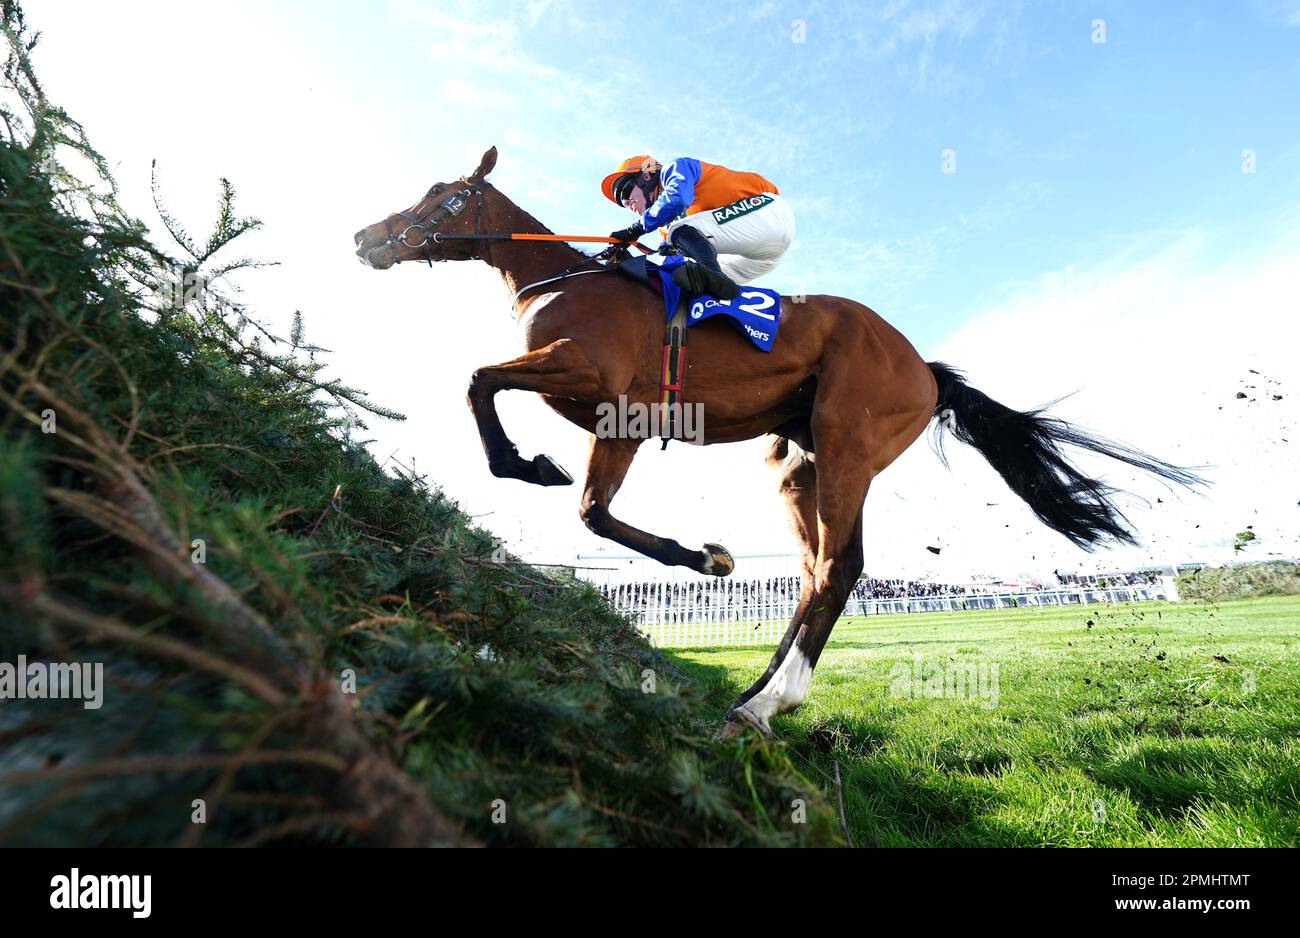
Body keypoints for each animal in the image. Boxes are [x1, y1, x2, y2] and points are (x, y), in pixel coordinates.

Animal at [353, 146, 1196, 732]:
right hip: (801, 461)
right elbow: (583, 500)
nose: (365, 236)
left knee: (839, 568)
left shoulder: (601, 387)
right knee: (814, 569)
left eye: (440, 194)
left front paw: (530, 465)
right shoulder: (611, 419)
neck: (562, 282)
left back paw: (767, 703)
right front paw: (707, 556)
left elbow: (484, 388)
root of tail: (921, 365)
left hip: (848, 441)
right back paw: (760, 693)